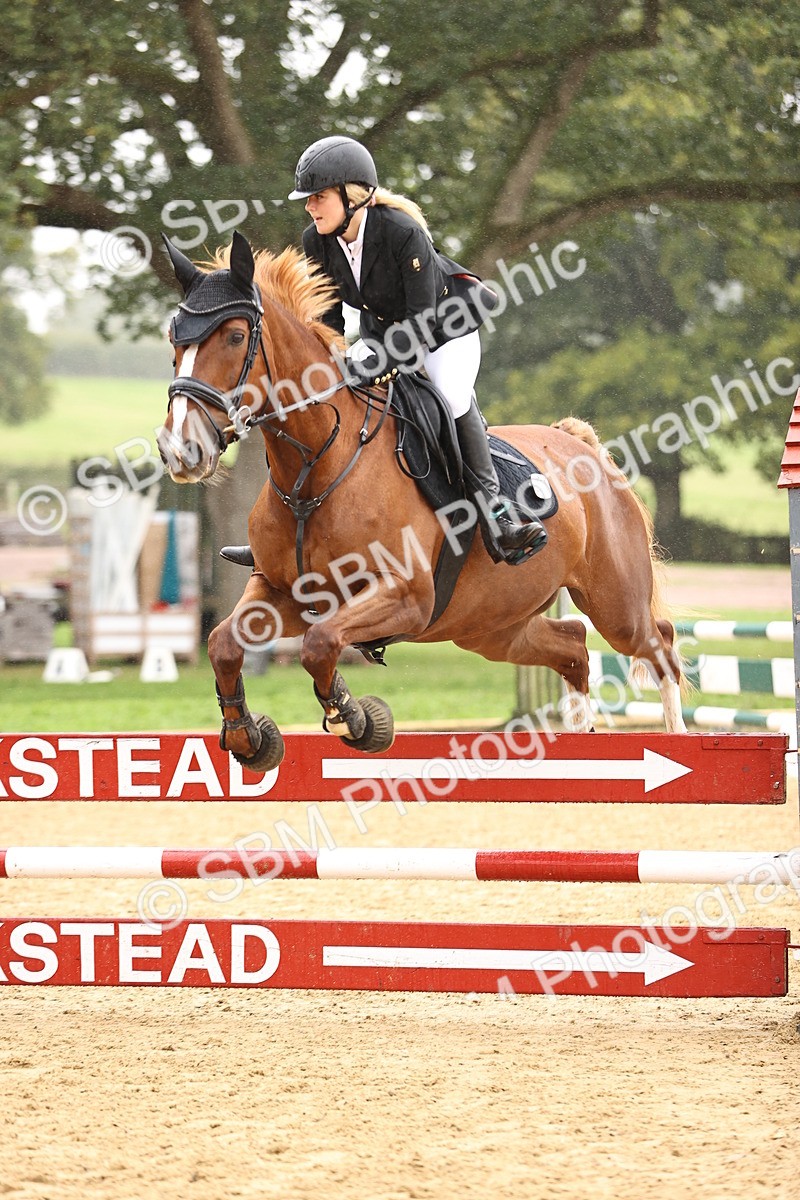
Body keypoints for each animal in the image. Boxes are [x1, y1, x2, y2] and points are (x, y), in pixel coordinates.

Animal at [156, 231, 685, 772]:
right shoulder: (284, 592)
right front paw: (248, 737)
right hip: (491, 627)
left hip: (614, 604)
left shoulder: (406, 597)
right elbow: (224, 643)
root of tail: (584, 447)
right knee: (573, 647)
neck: (317, 467)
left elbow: (318, 644)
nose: (180, 450)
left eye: (235, 337)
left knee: (658, 645)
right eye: (175, 340)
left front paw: (355, 720)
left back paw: (676, 737)